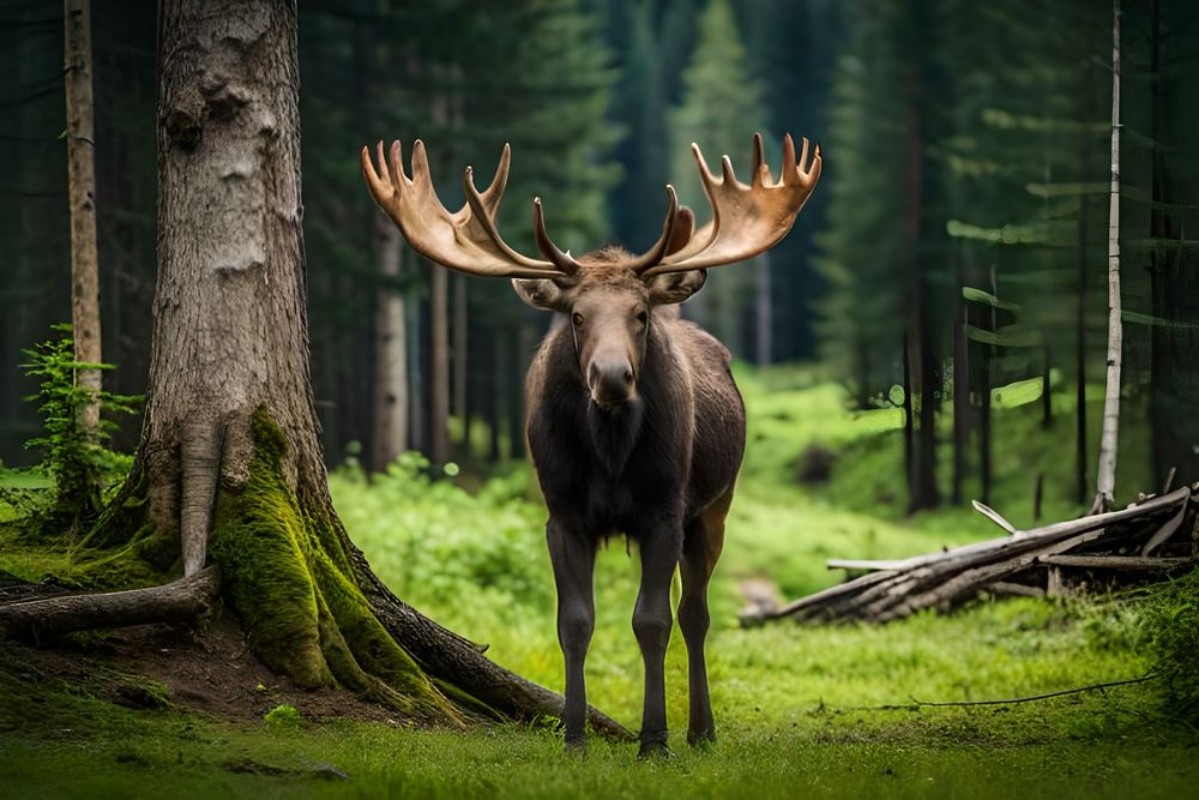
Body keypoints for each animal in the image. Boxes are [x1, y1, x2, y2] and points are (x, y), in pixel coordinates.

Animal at [359, 134, 820, 753]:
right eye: (576, 316)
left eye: (640, 314)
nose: (612, 376)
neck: (610, 455)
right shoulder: (562, 514)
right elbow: (574, 622)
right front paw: (573, 733)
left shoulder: (664, 511)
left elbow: (653, 621)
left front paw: (654, 740)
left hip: (715, 506)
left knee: (695, 613)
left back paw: (701, 729)